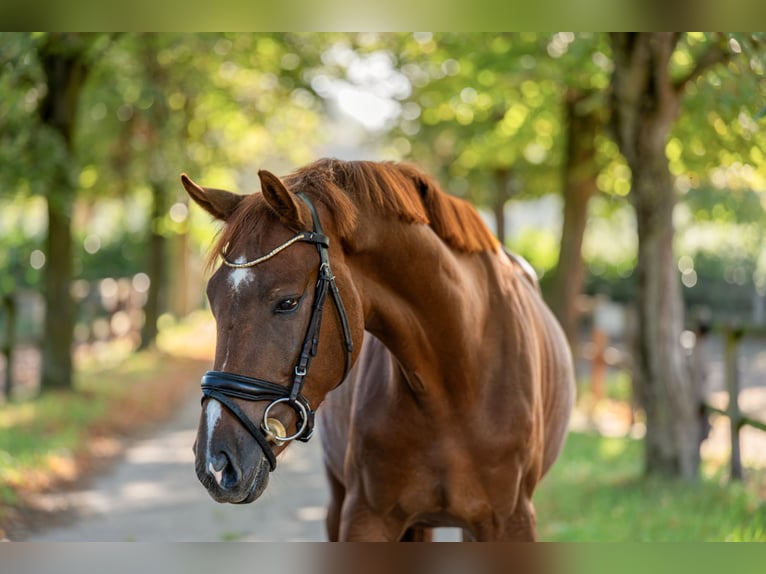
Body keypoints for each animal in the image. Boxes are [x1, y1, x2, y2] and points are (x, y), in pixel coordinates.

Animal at [181, 158, 575, 541]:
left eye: (288, 302)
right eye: (213, 300)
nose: (216, 462)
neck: (457, 383)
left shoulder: (511, 522)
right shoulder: (367, 517)